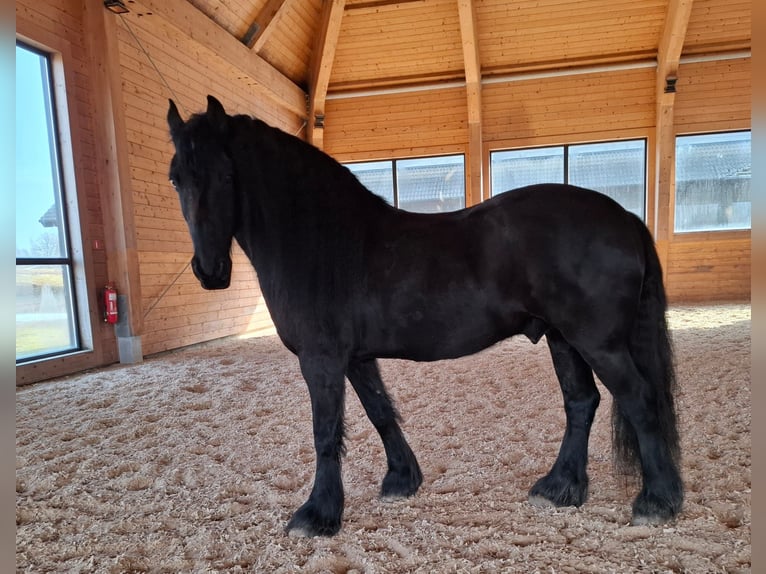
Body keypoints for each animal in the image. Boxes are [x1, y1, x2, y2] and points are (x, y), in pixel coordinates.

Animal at [166, 95, 683, 537]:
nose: (210, 272)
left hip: (597, 341)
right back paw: (560, 488)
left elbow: (326, 432)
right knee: (581, 403)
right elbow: (380, 411)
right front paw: (401, 480)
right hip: (563, 337)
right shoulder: (355, 358)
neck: (322, 239)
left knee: (639, 399)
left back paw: (655, 502)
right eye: (176, 179)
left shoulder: (321, 359)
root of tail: (624, 217)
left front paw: (317, 515)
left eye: (225, 175)